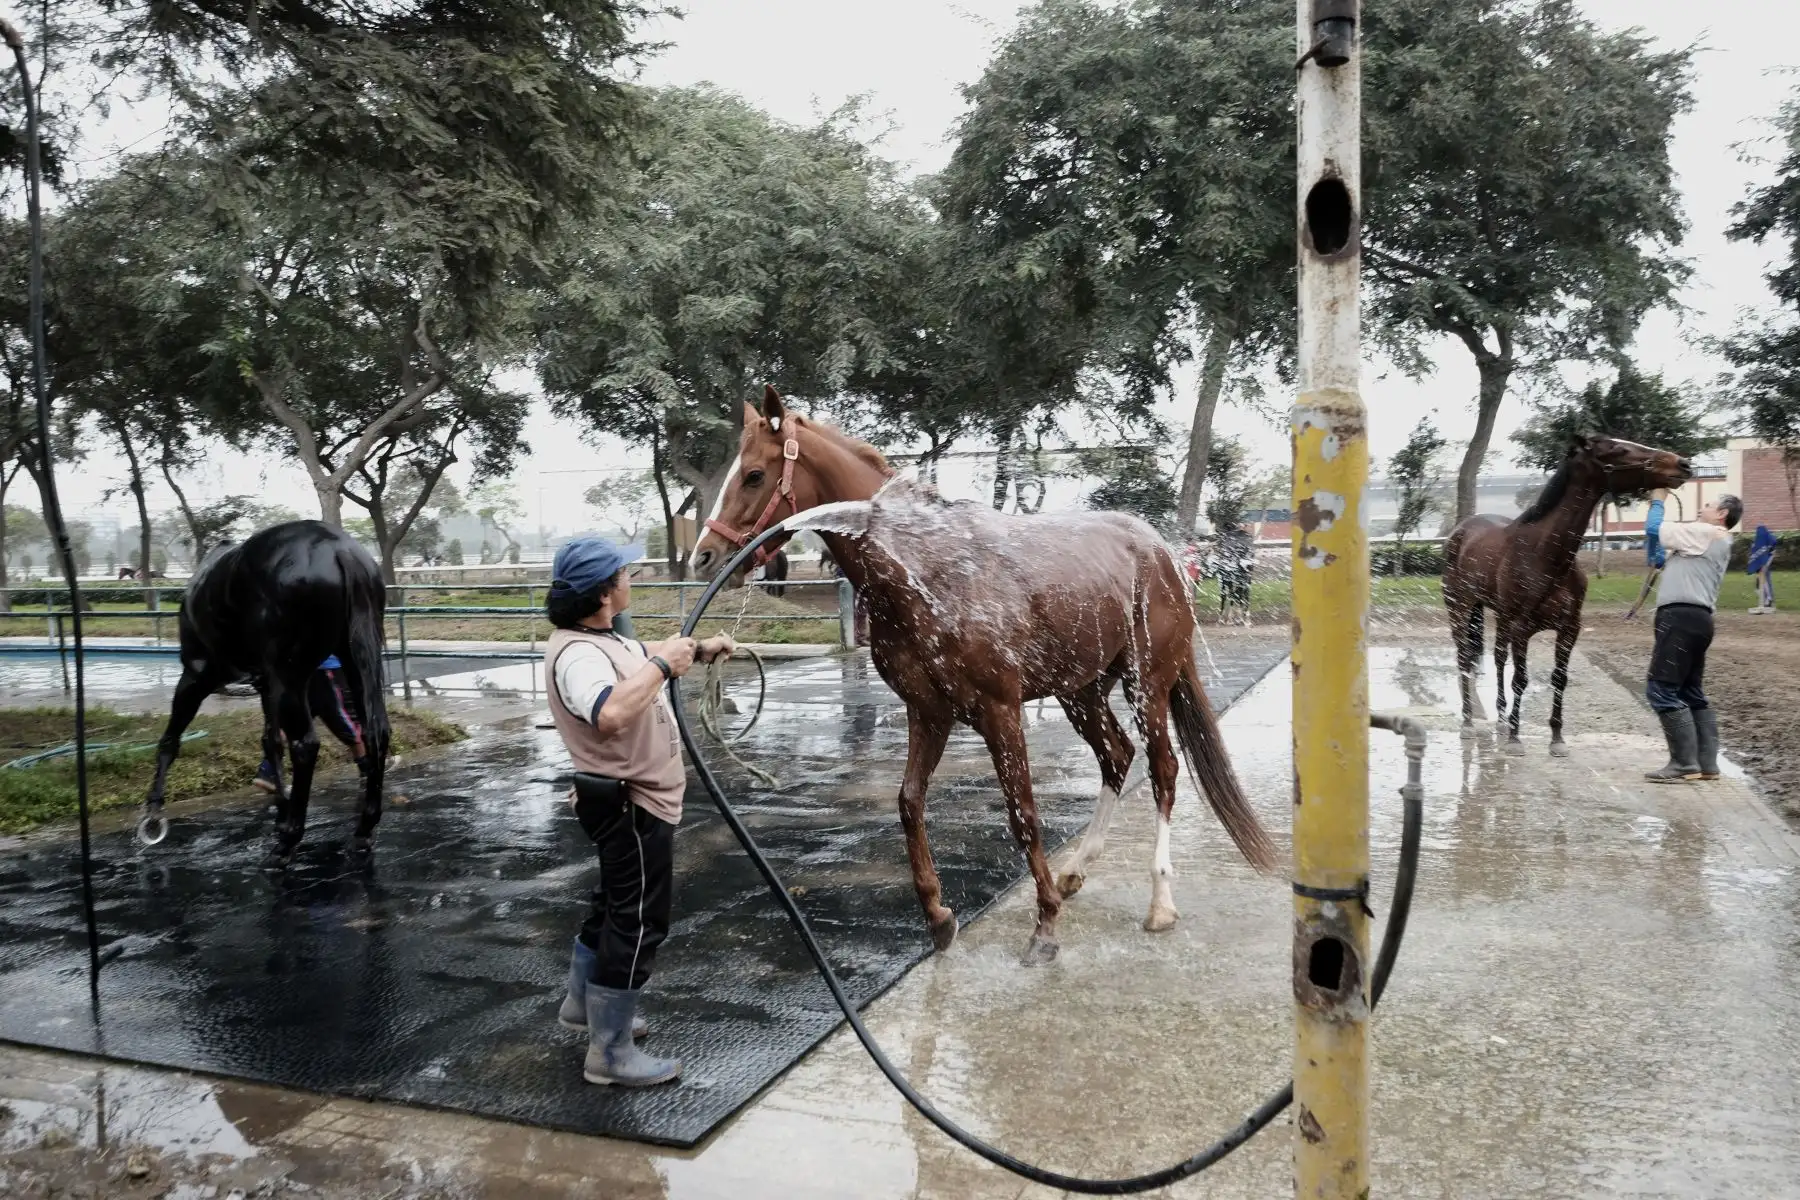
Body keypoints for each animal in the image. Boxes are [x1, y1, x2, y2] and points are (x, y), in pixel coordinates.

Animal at [142, 520, 392, 866]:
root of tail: (340, 550)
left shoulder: (197, 674)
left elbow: (170, 740)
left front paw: (153, 813)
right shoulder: (265, 683)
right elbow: (271, 741)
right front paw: (280, 805)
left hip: (289, 676)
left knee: (306, 744)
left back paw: (289, 842)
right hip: (353, 660)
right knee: (374, 731)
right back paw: (363, 828)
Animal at [692, 386, 1275, 964]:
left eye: (754, 475)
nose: (705, 557)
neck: (924, 571)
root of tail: (1161, 552)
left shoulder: (999, 710)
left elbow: (1023, 814)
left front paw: (1044, 926)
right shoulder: (928, 711)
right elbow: (909, 804)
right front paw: (938, 917)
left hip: (1146, 683)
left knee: (1162, 769)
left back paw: (1159, 902)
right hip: (1081, 692)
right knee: (1116, 756)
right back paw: (1075, 871)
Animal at [1442, 435, 1690, 755]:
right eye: (1618, 449)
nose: (1682, 464)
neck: (1545, 555)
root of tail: (1460, 530)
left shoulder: (1569, 628)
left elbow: (1559, 678)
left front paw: (1556, 739)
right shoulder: (1521, 628)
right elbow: (1520, 679)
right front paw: (1515, 739)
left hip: (1499, 616)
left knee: (1497, 658)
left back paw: (1500, 720)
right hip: (1460, 608)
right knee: (1464, 658)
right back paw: (1468, 723)